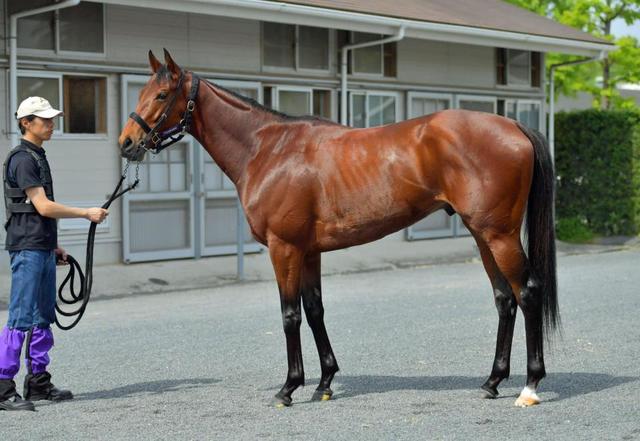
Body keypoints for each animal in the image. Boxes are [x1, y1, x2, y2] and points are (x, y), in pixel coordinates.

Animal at [118, 49, 559, 408]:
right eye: (142, 92)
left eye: (161, 95)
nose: (127, 142)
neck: (268, 150)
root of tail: (514, 126)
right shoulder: (308, 251)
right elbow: (315, 310)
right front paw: (324, 382)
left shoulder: (284, 248)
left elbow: (290, 314)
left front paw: (289, 388)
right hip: (482, 235)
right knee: (504, 299)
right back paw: (492, 382)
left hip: (498, 236)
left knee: (527, 293)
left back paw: (530, 386)